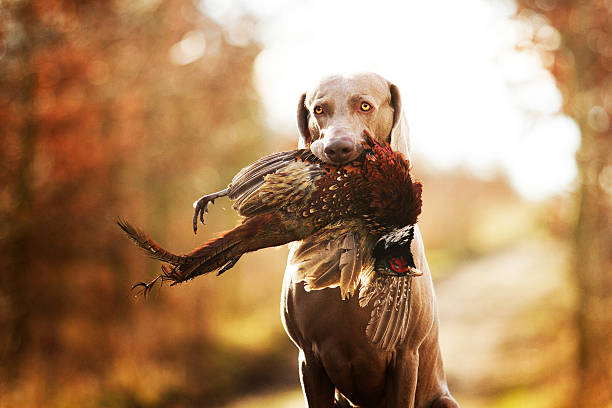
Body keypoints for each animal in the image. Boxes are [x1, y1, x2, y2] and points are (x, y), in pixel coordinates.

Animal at [280, 73, 456, 408]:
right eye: (318, 109)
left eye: (365, 106)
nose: (338, 148)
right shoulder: (308, 360)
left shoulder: (405, 356)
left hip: (444, 399)